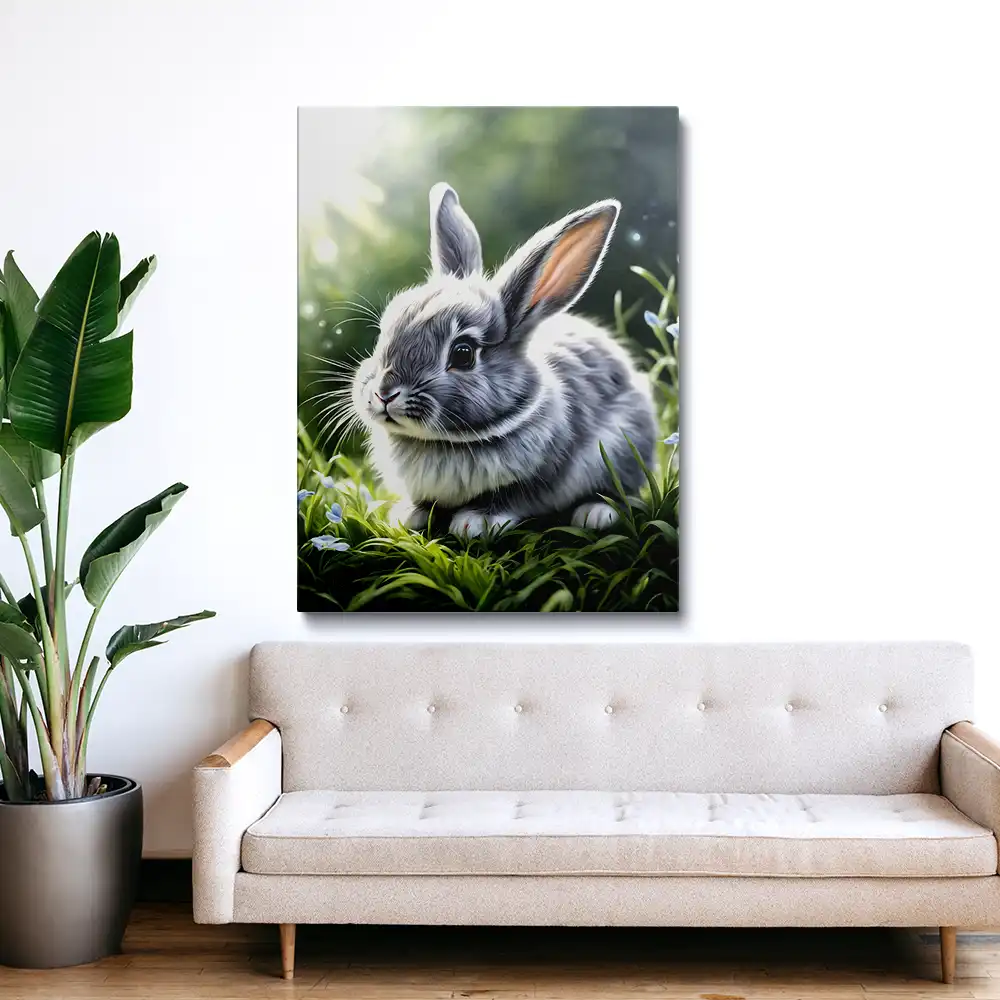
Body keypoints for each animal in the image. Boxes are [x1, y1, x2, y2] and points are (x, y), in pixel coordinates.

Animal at [350, 182, 657, 537]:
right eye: (385, 331)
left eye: (463, 354)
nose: (384, 393)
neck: (445, 441)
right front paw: (408, 516)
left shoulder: (542, 474)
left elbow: (511, 497)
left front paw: (474, 522)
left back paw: (595, 513)